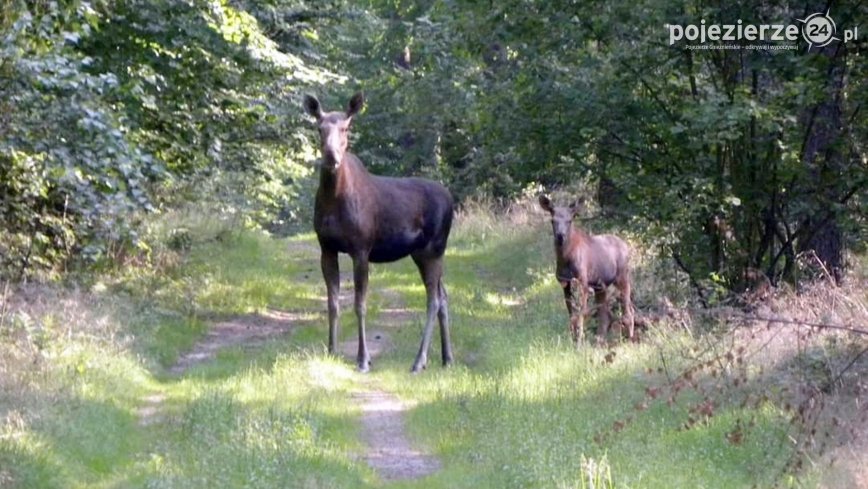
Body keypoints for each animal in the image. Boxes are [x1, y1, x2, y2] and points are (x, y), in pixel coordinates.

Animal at [304, 92, 454, 374]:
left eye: (346, 128)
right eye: (319, 128)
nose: (331, 156)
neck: (333, 199)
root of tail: (452, 200)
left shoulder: (361, 249)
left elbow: (360, 304)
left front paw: (363, 359)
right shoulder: (326, 248)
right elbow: (332, 303)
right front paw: (331, 351)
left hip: (434, 249)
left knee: (433, 299)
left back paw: (419, 360)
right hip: (422, 253)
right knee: (443, 295)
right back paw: (447, 357)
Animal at [540, 194, 636, 344]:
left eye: (569, 220)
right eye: (552, 220)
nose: (560, 236)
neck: (565, 259)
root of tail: (626, 246)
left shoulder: (583, 282)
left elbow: (581, 313)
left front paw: (579, 341)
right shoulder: (564, 283)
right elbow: (571, 313)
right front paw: (573, 338)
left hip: (623, 278)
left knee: (629, 311)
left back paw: (629, 339)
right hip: (600, 286)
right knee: (605, 315)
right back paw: (599, 341)